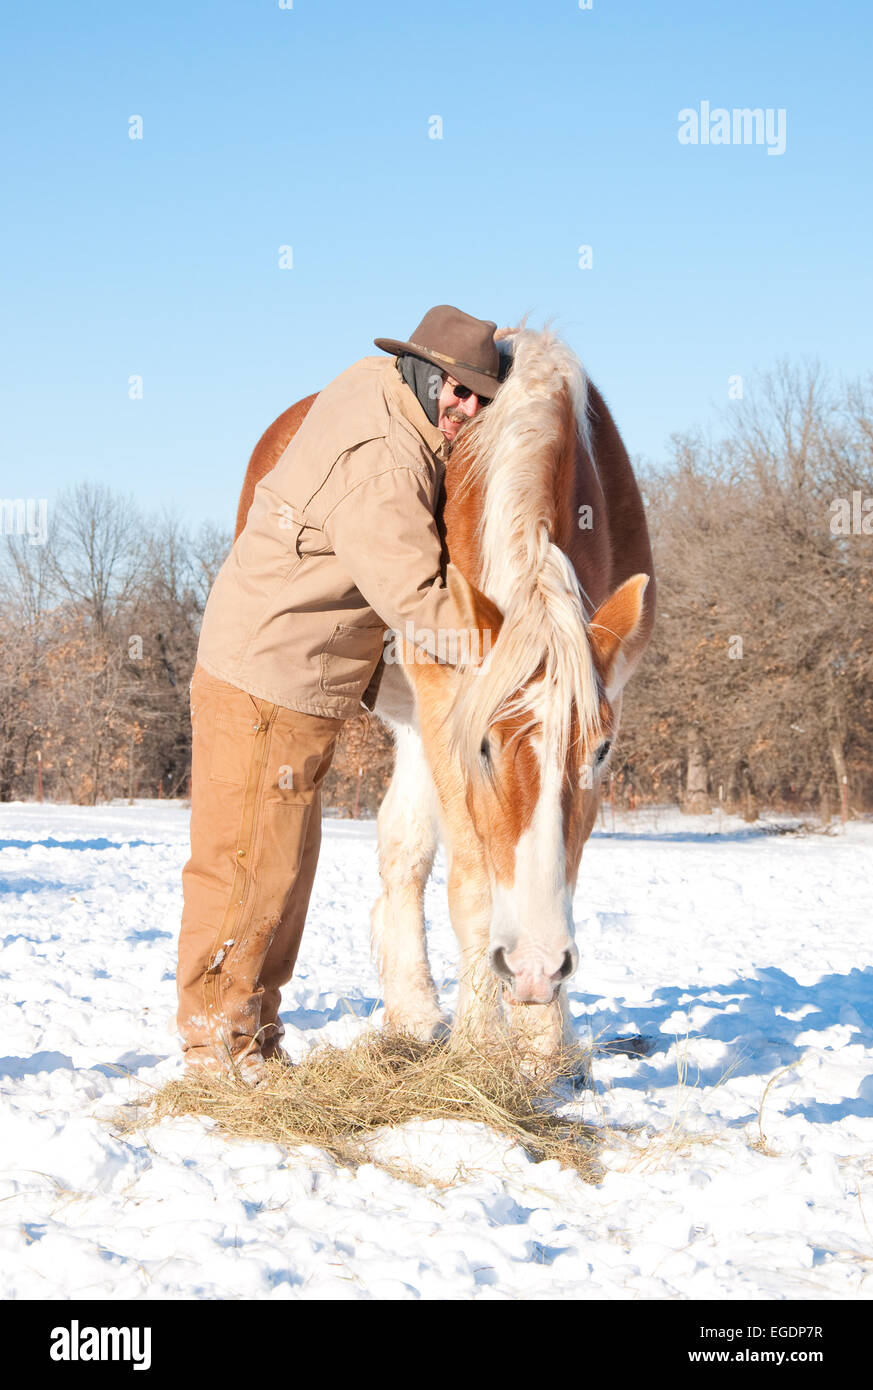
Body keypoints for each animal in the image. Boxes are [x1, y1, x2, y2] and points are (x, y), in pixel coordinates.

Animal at [234, 326, 655, 1065]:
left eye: (602, 751)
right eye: (484, 747)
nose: (536, 968)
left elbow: (560, 867)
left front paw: (545, 1042)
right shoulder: (447, 709)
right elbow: (475, 887)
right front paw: (481, 1045)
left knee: (401, 850)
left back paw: (413, 1008)